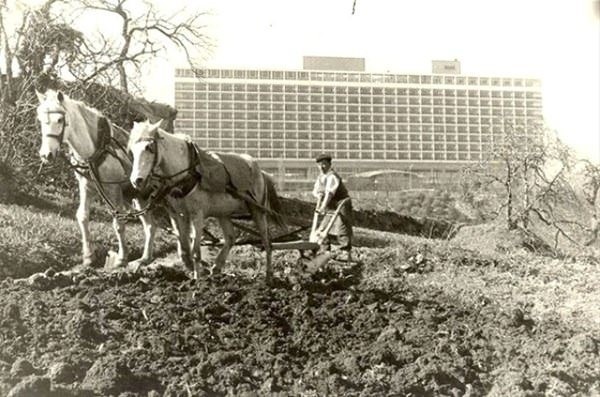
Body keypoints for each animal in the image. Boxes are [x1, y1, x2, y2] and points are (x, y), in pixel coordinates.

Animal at [34, 89, 157, 268]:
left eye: (59, 120)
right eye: (40, 120)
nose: (46, 154)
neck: (96, 150)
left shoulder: (113, 189)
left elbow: (118, 223)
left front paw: (121, 258)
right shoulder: (86, 186)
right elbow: (82, 216)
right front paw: (88, 257)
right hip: (137, 197)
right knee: (150, 225)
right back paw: (145, 258)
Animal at [127, 119, 282, 280]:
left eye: (149, 148)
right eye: (131, 150)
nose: (136, 180)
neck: (186, 172)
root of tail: (261, 172)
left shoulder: (197, 214)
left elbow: (196, 251)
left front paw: (197, 279)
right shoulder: (179, 214)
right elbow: (184, 248)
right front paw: (193, 270)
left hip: (258, 210)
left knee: (267, 241)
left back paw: (268, 275)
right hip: (223, 213)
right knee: (230, 238)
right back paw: (217, 267)